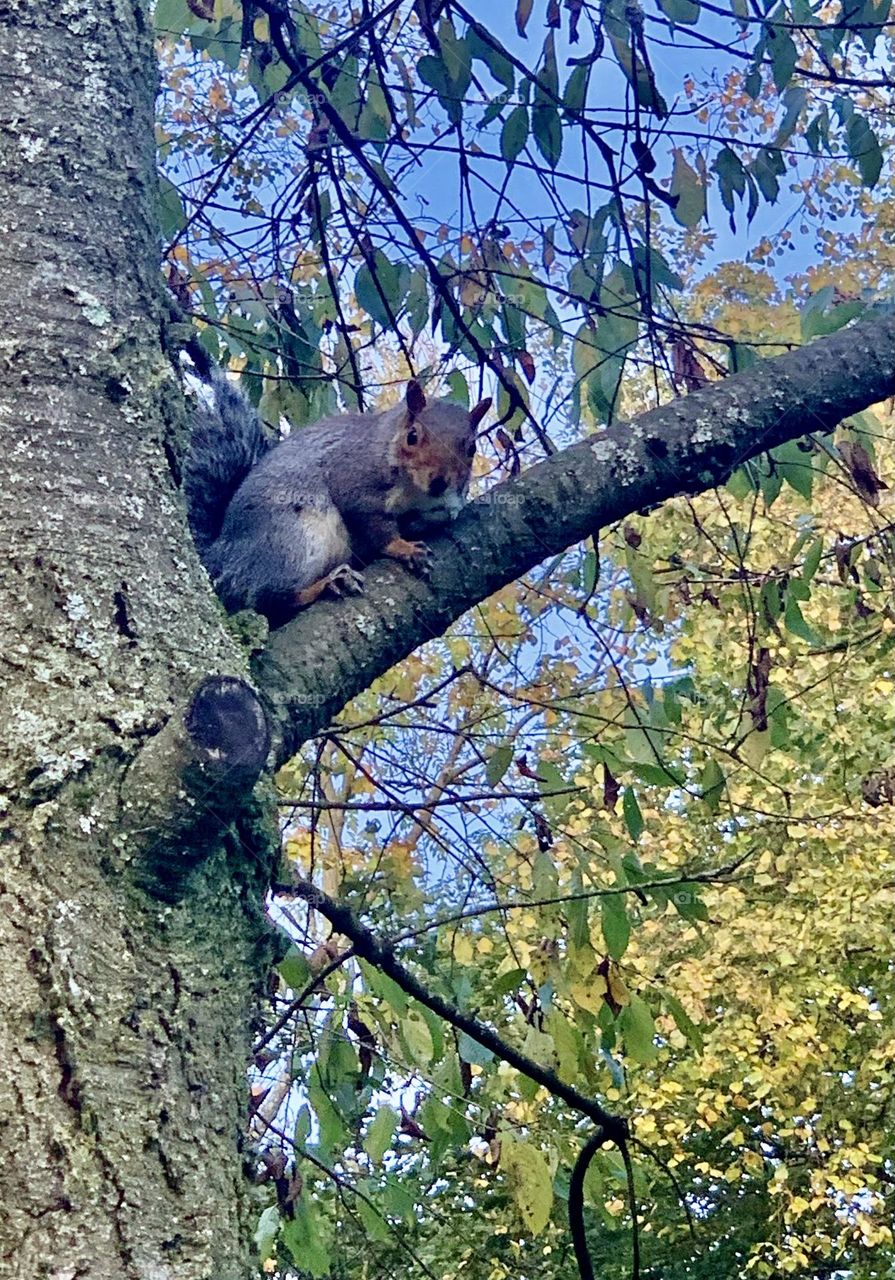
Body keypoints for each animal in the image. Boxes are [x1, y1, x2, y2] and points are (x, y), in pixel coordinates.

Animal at [183, 366, 492, 625]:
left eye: (472, 448)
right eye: (412, 436)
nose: (439, 483)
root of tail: (221, 558)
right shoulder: (351, 477)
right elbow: (372, 523)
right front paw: (403, 547)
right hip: (292, 542)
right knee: (266, 597)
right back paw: (327, 584)